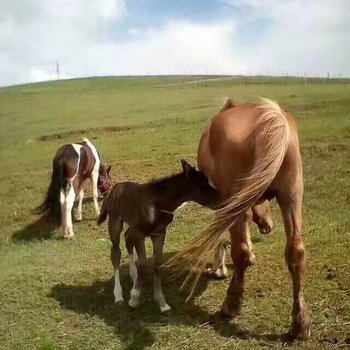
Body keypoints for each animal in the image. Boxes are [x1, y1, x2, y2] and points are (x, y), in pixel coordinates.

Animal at [168, 98, 310, 340]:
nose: (268, 226)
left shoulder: (225, 205)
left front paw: (219, 269)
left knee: (240, 251)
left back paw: (230, 306)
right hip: (291, 196)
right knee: (296, 252)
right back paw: (299, 324)